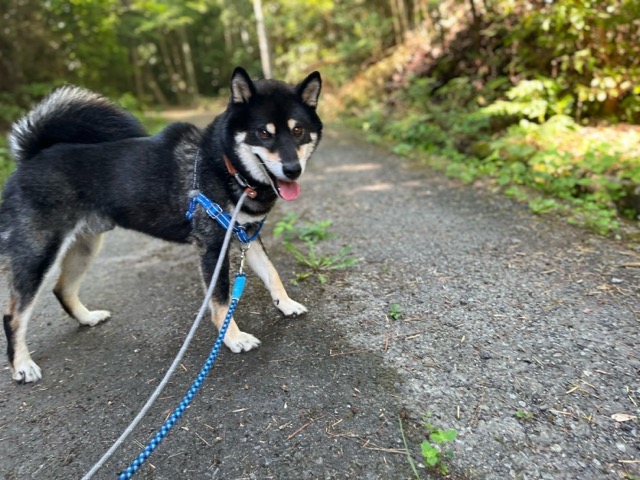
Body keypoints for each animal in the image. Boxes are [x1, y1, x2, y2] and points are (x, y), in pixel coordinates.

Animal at [0, 67, 323, 383]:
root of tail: (29, 157)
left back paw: (87, 318)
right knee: (14, 316)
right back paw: (22, 366)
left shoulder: (247, 235)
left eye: (298, 131)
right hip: (38, 255)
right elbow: (221, 300)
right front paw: (233, 339)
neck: (225, 165)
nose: (292, 170)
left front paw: (287, 304)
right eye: (263, 133)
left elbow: (272, 273)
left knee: (63, 290)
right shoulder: (212, 248)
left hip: (85, 247)